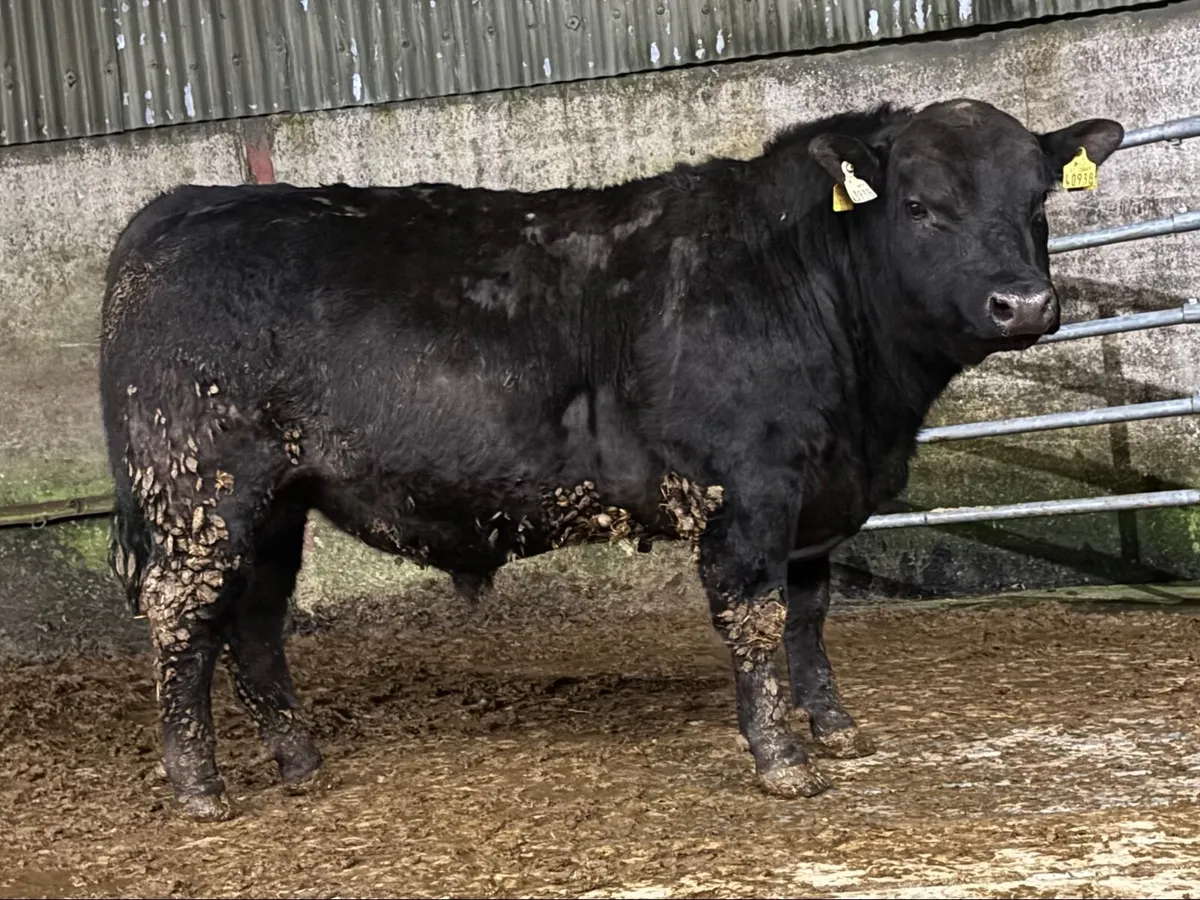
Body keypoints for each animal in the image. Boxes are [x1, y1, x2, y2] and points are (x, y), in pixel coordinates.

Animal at [99, 98, 1124, 820]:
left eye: (1037, 202)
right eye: (918, 206)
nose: (1024, 304)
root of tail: (188, 204)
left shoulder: (815, 502)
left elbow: (809, 617)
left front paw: (833, 727)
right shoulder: (748, 490)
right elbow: (756, 621)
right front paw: (781, 761)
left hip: (276, 502)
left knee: (255, 625)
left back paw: (301, 764)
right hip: (202, 494)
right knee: (184, 617)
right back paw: (199, 785)